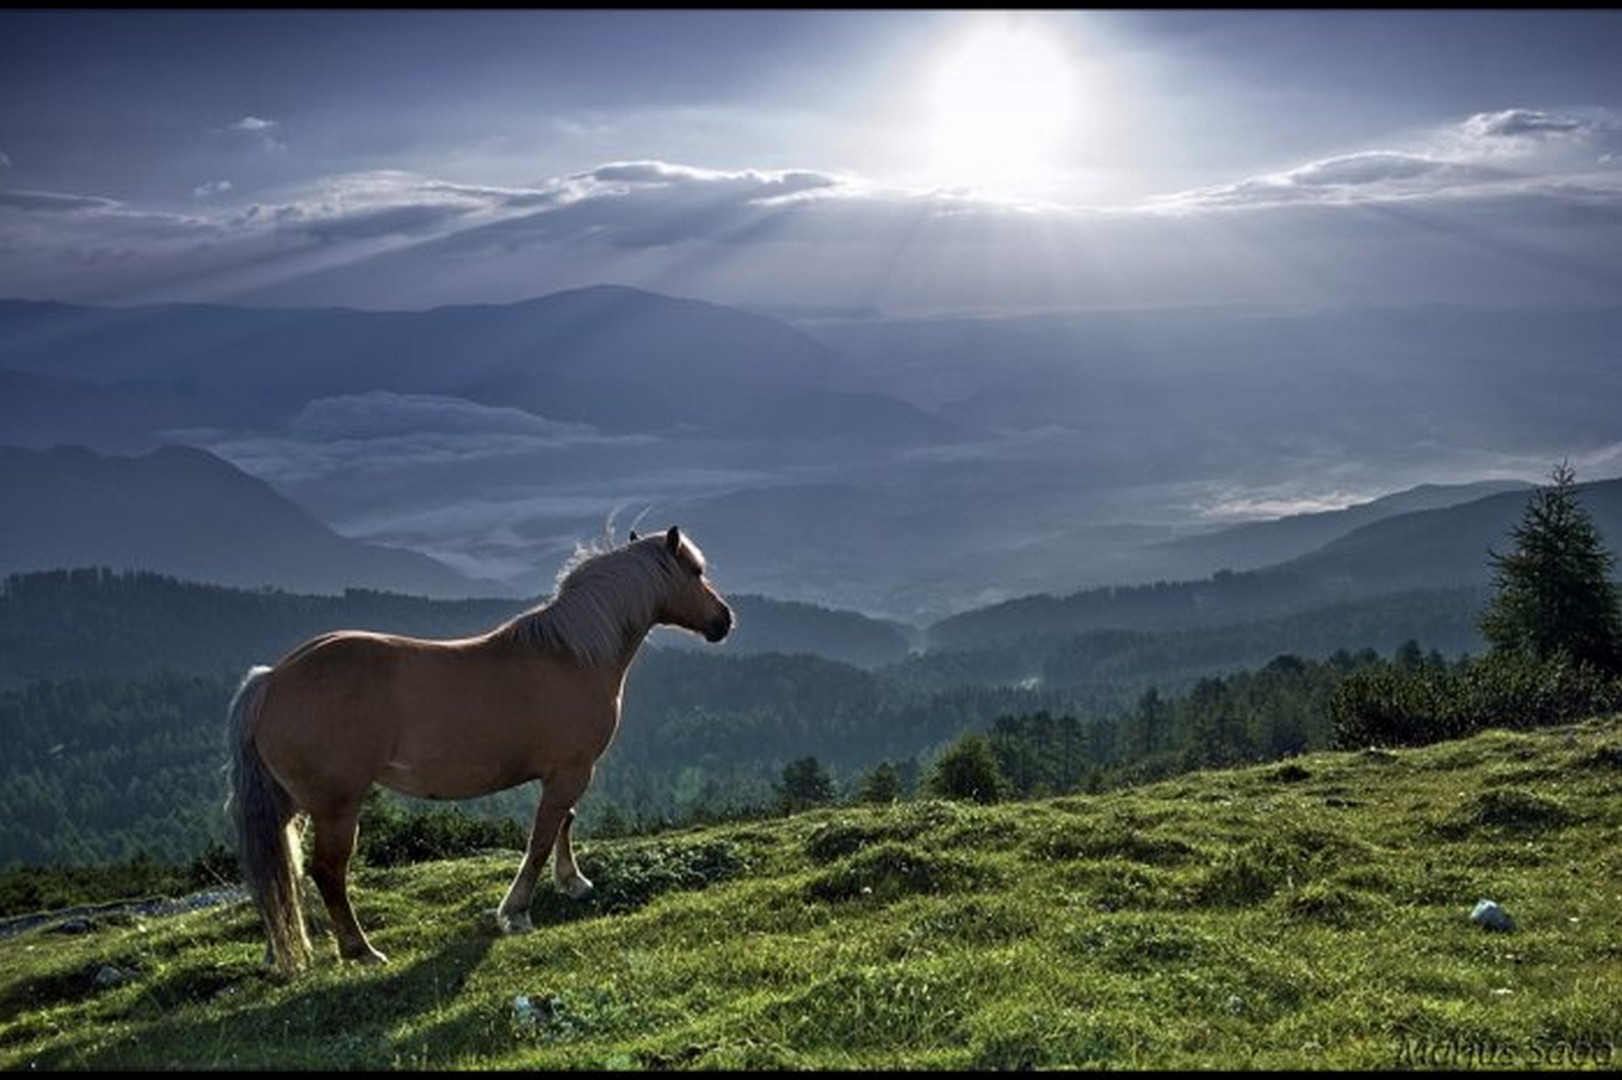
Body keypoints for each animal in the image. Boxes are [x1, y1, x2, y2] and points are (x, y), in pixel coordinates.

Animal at [225, 525, 733, 972]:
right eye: (694, 571)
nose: (725, 620)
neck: (571, 655)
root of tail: (270, 681)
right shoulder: (571, 770)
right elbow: (541, 838)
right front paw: (517, 912)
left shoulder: (568, 772)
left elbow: (564, 823)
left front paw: (573, 882)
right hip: (336, 807)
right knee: (327, 872)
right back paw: (360, 950)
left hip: (291, 805)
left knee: (281, 869)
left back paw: (281, 950)